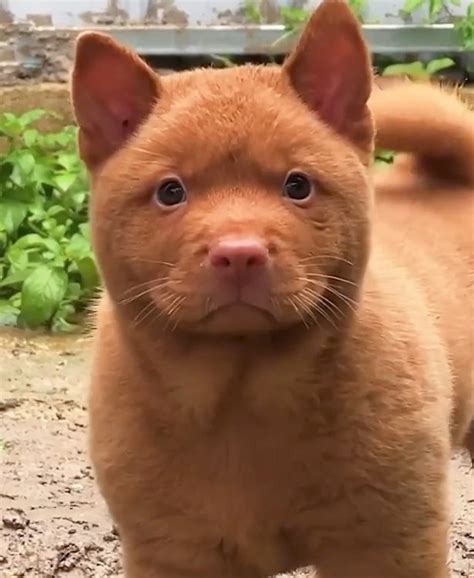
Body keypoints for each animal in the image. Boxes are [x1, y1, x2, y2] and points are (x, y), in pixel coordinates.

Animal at [71, 2, 474, 572]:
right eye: (170, 192)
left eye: (297, 185)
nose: (239, 253)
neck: (240, 399)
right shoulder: (174, 551)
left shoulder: (387, 543)